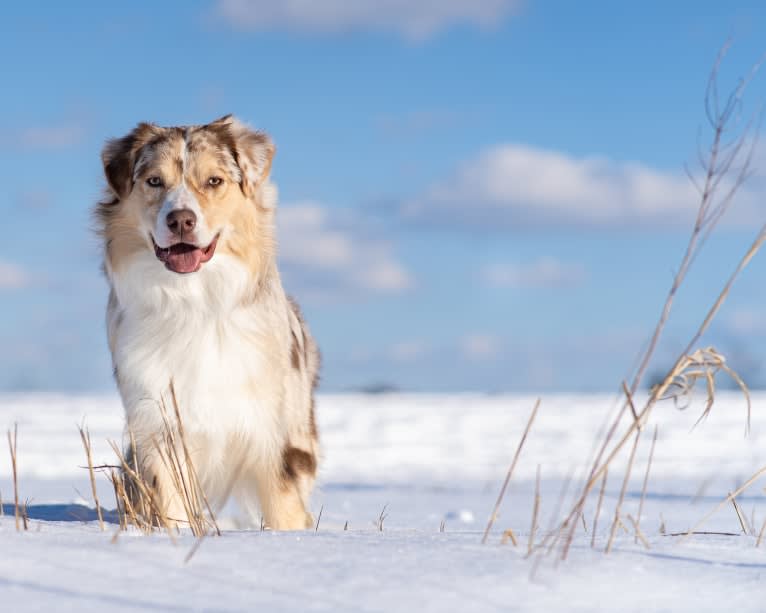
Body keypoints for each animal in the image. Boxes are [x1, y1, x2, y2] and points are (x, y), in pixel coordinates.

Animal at [97, 116, 320, 532]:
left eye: (214, 181)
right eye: (154, 181)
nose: (181, 220)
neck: (194, 300)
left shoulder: (274, 437)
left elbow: (284, 513)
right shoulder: (158, 429)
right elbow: (170, 507)